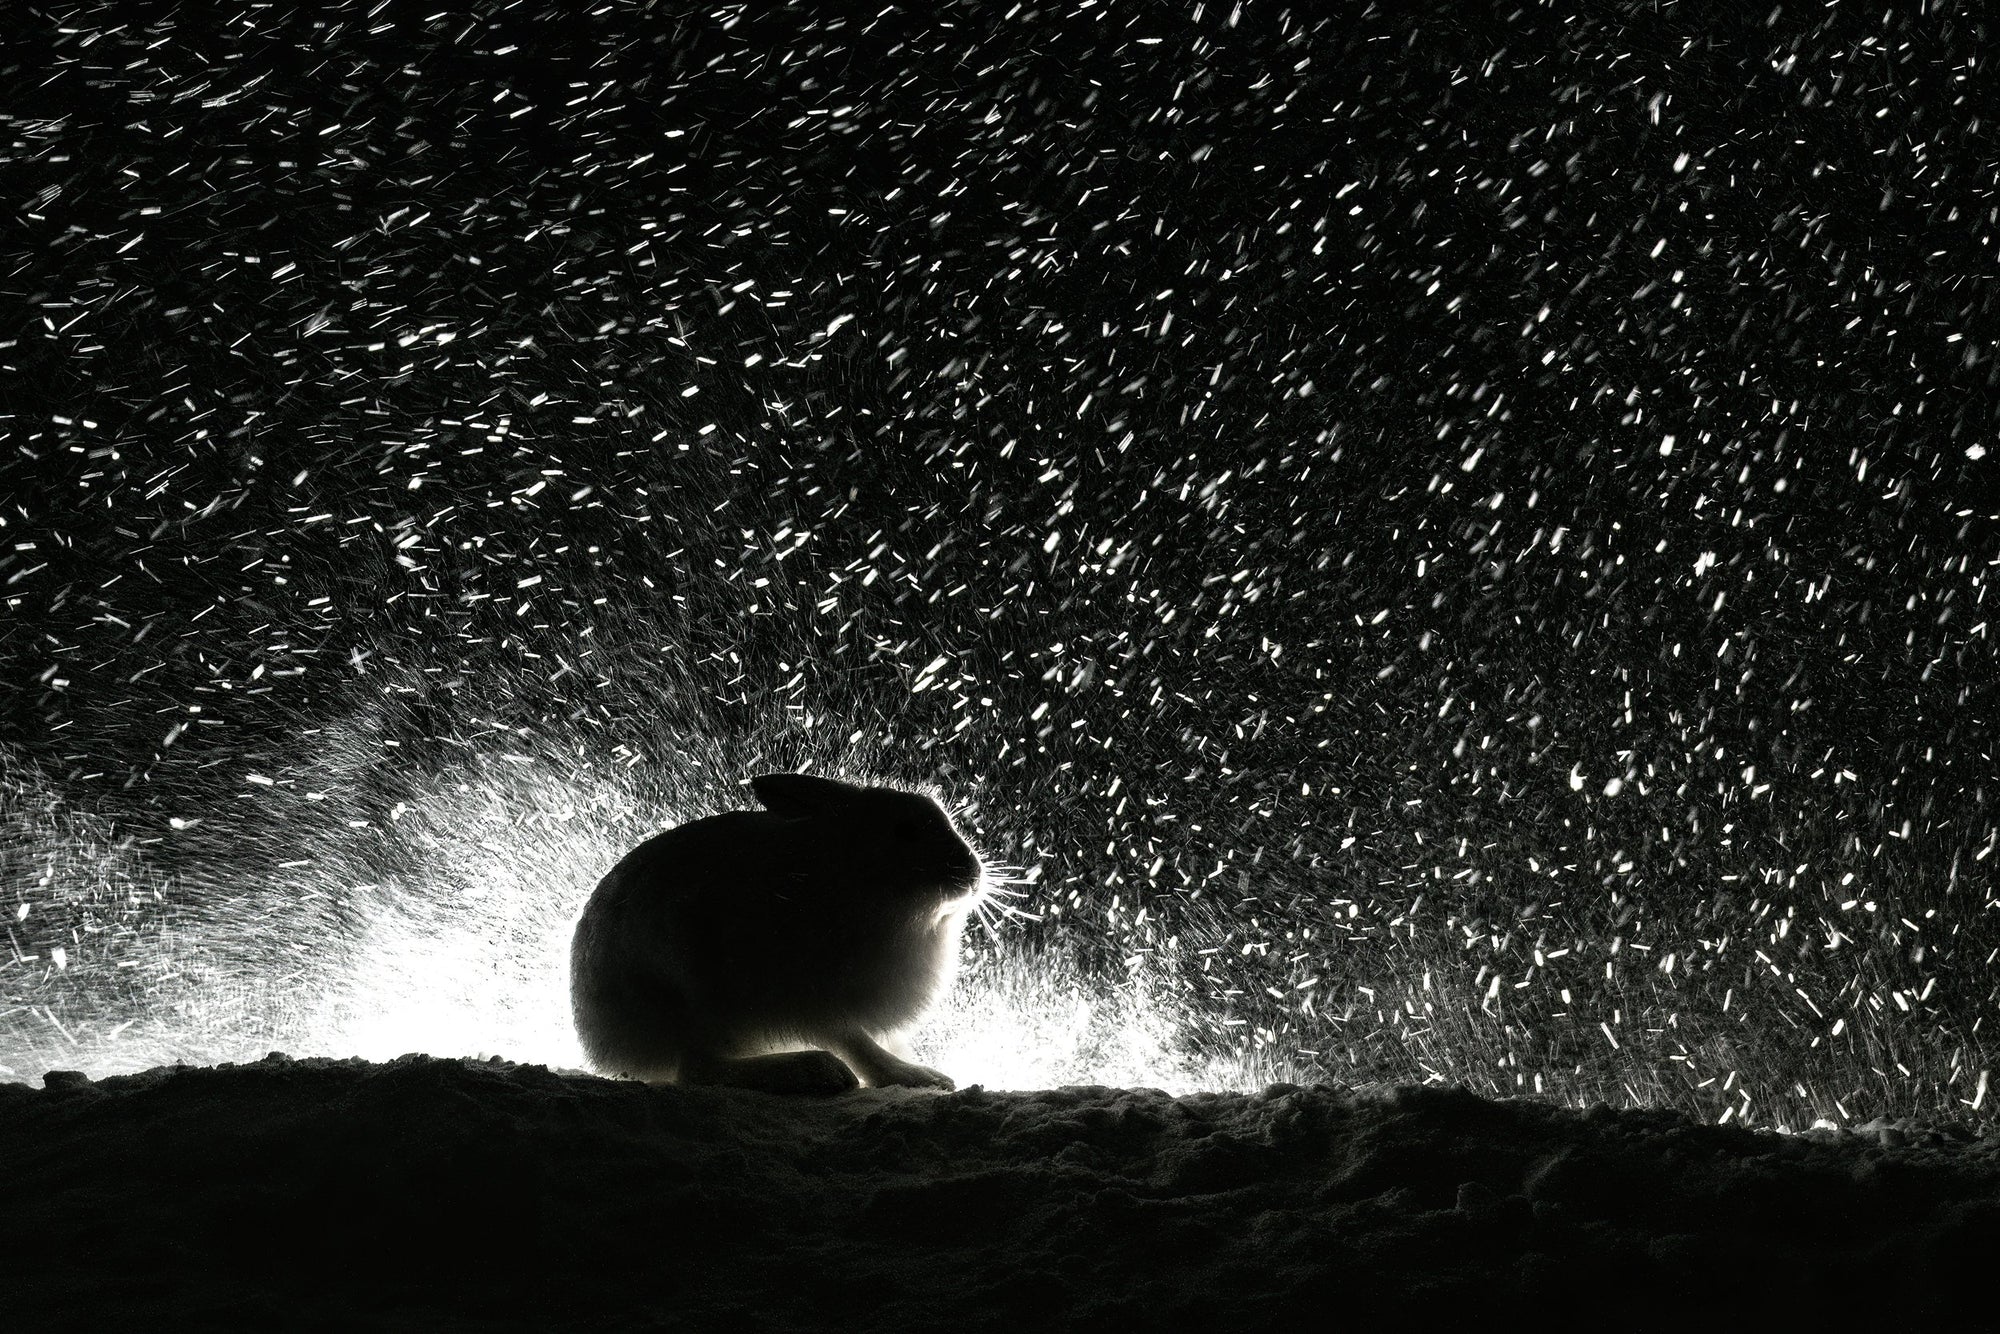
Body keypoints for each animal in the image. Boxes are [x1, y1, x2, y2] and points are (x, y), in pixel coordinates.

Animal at [570, 772, 984, 1094]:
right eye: (905, 831)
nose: (973, 872)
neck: (851, 875)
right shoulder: (818, 1002)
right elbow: (857, 1045)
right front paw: (920, 1078)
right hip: (699, 1003)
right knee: (701, 1069)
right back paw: (815, 1072)